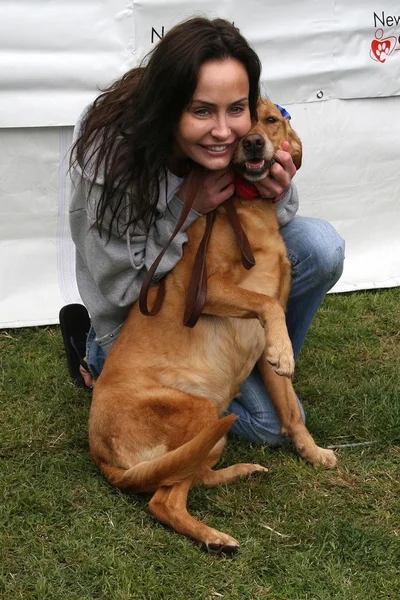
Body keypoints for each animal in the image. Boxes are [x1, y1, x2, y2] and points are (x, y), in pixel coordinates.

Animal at [88, 99, 338, 552]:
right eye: (243, 120)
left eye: (270, 119)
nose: (253, 142)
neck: (249, 210)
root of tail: (99, 454)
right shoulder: (205, 291)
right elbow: (265, 302)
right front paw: (284, 350)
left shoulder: (264, 354)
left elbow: (292, 413)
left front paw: (312, 452)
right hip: (203, 413)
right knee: (163, 501)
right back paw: (214, 538)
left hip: (210, 436)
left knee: (191, 476)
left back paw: (239, 472)